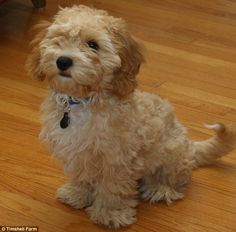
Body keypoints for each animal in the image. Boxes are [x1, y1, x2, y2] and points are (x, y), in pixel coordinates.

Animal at [26, 5, 235, 228]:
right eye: (60, 38)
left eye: (93, 45)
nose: (63, 60)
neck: (81, 101)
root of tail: (189, 145)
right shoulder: (79, 153)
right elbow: (82, 177)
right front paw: (77, 194)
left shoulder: (117, 160)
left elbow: (113, 189)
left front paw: (111, 214)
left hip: (170, 154)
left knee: (176, 181)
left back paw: (160, 189)